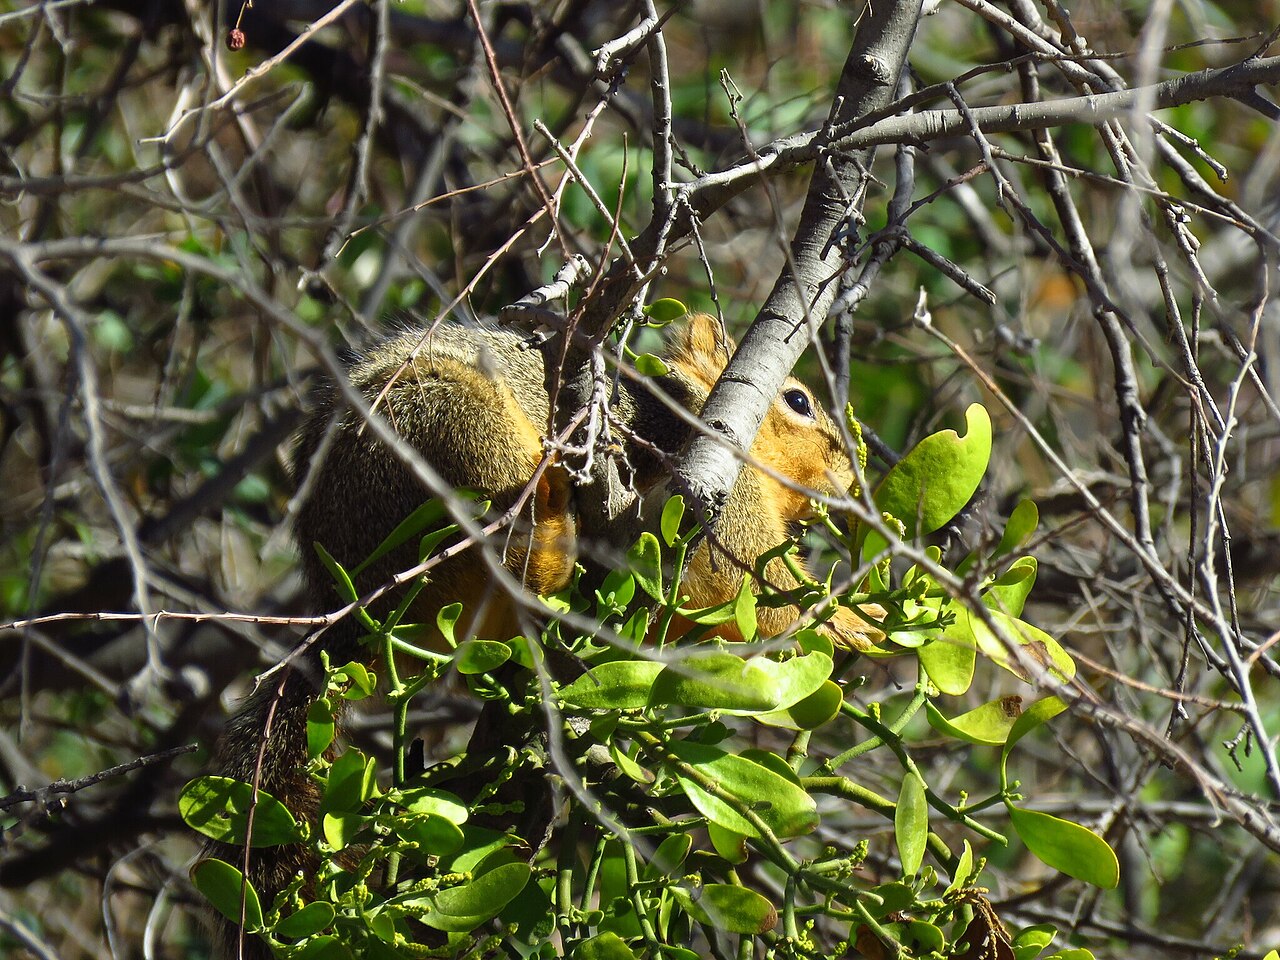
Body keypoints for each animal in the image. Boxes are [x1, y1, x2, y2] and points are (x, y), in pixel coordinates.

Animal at [202, 313, 879, 959]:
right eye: (797, 400)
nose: (849, 476)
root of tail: (346, 598)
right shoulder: (708, 484)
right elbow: (749, 575)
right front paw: (852, 622)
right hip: (449, 434)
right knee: (511, 534)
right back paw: (554, 520)